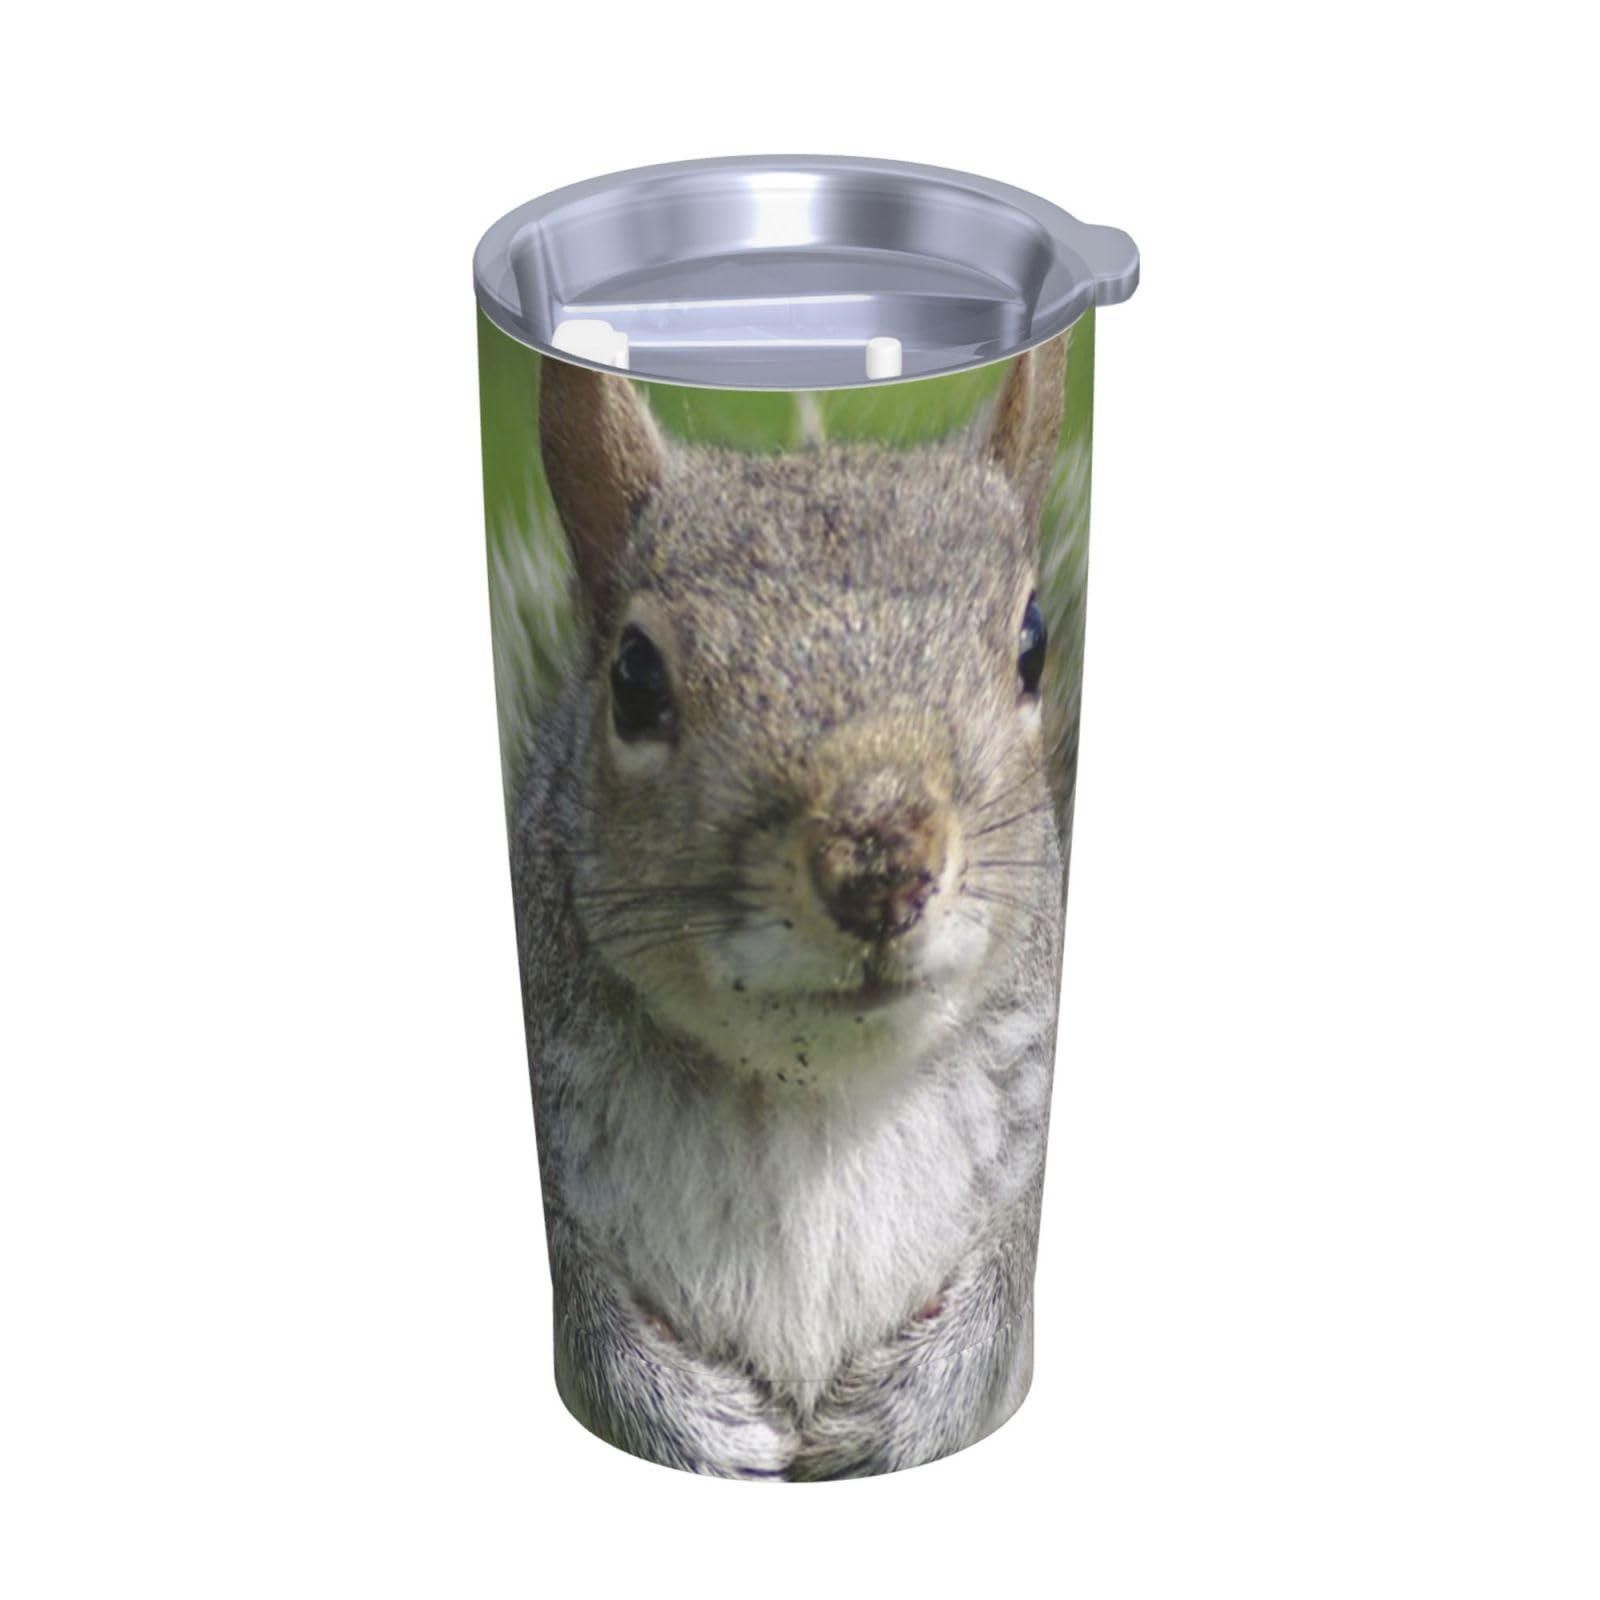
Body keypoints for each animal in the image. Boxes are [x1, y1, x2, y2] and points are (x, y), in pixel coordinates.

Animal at [508, 336, 1071, 1479]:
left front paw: (900, 1409)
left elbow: (1006, 1281)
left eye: (1033, 642)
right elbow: (587, 1315)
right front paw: (699, 1423)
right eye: (634, 677)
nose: (881, 864)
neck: (811, 1096)